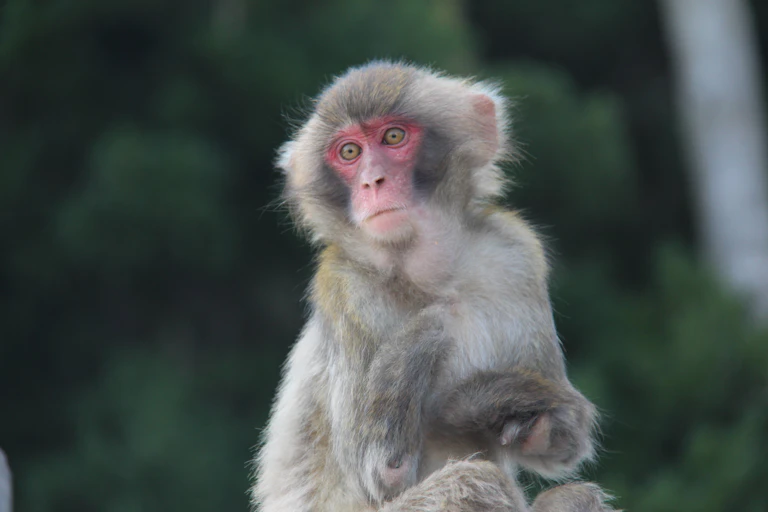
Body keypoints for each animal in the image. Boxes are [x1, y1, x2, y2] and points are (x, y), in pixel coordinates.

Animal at [253, 61, 614, 512]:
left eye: (393, 137)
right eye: (349, 152)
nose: (373, 182)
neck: (428, 272)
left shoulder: (515, 256)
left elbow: (561, 445)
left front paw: (513, 406)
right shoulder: (344, 286)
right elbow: (383, 471)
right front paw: (438, 334)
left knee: (573, 496)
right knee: (477, 480)